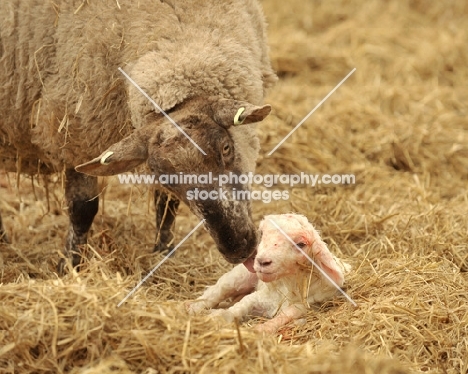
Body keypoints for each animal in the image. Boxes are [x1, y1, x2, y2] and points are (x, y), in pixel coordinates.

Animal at [0, 1, 276, 274]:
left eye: (226, 147)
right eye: (163, 174)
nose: (238, 247)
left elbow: (166, 206)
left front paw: (164, 254)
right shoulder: (73, 132)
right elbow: (82, 209)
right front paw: (70, 264)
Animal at [186, 213, 352, 334]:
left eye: (301, 244)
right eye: (262, 234)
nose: (262, 261)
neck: (286, 286)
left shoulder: (309, 304)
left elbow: (288, 314)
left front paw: (260, 329)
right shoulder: (262, 297)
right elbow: (241, 305)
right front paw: (217, 317)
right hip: (239, 276)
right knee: (216, 292)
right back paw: (189, 308)